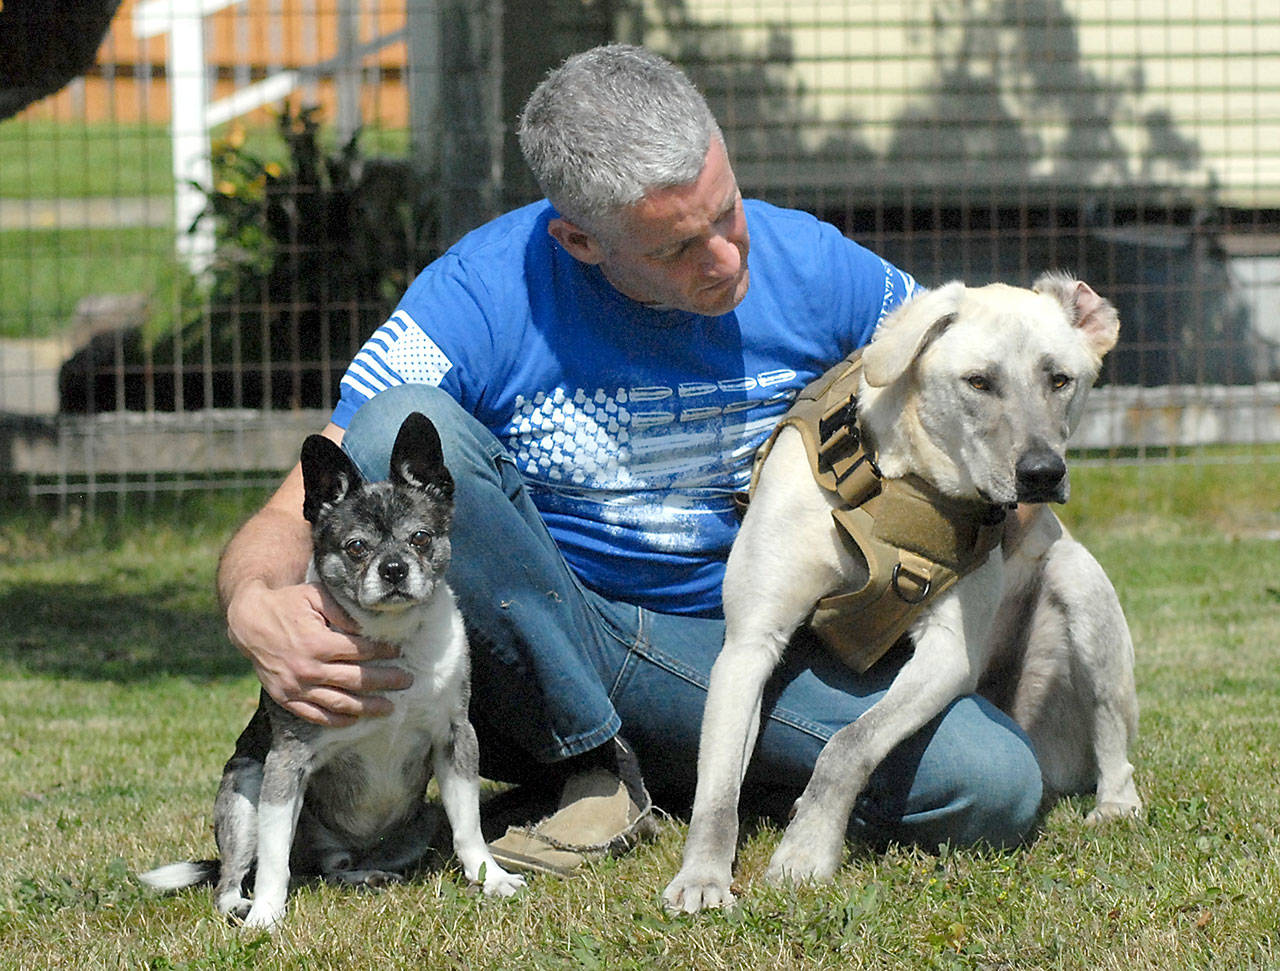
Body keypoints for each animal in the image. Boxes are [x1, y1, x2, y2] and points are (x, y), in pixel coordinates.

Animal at [138, 414, 519, 931]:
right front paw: (266, 914)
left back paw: (365, 875)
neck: (391, 640)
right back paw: (243, 903)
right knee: (240, 876)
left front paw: (490, 877)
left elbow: (469, 827)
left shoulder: (456, 739)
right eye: (356, 548)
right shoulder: (285, 765)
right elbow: (274, 860)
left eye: (420, 538)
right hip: (246, 789)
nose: (393, 568)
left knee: (333, 869)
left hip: (414, 825)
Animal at [665, 277, 1136, 915]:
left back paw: (1116, 803)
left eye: (1060, 379)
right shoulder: (748, 642)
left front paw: (806, 852)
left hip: (1082, 596)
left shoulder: (949, 654)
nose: (1042, 473)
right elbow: (715, 787)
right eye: (978, 382)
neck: (899, 482)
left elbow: (848, 744)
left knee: (1111, 729)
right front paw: (702, 876)